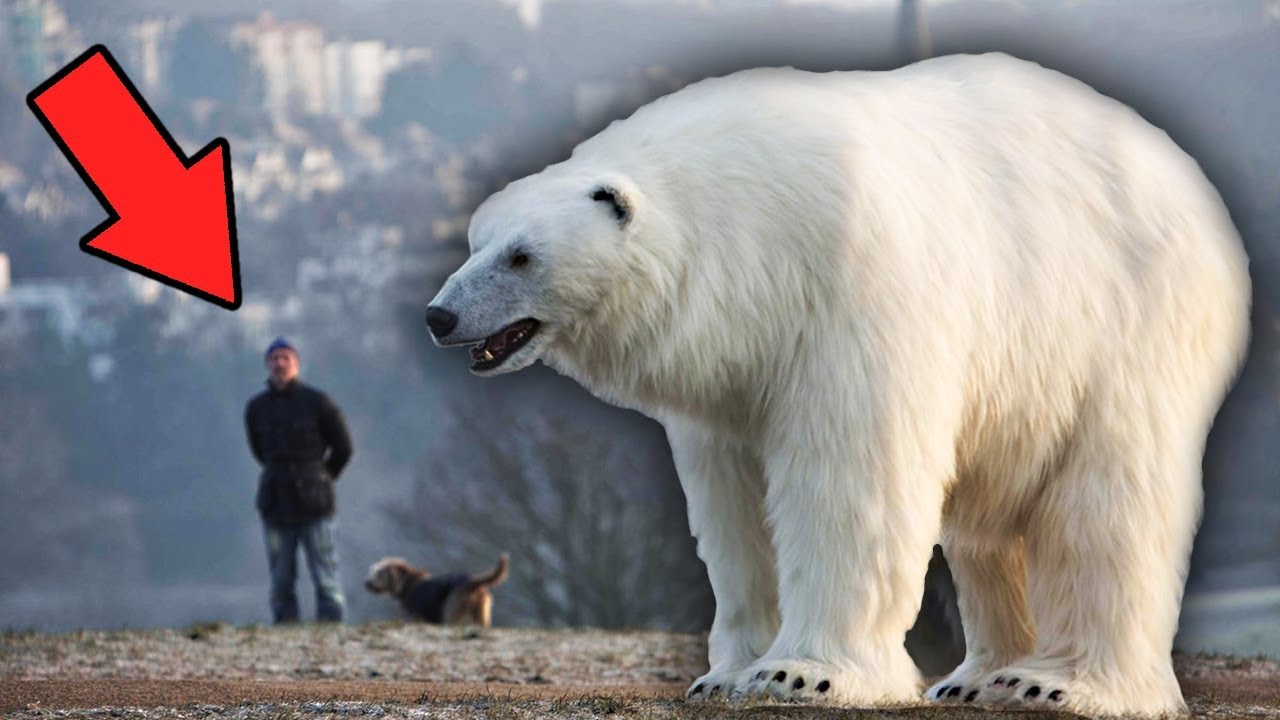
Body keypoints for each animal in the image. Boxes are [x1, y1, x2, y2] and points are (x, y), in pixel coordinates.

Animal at [363, 550, 506, 625]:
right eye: (373, 570)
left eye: (379, 573)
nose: (366, 583)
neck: (407, 584)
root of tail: (473, 582)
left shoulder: (414, 617)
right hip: (481, 612)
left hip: (452, 610)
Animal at [427, 53, 1249, 712]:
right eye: (475, 240)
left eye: (522, 255)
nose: (440, 315)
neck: (750, 230)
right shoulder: (734, 367)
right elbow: (733, 505)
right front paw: (725, 674)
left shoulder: (852, 298)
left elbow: (852, 479)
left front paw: (800, 674)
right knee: (988, 529)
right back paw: (974, 678)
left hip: (1122, 324)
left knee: (1108, 503)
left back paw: (1056, 683)